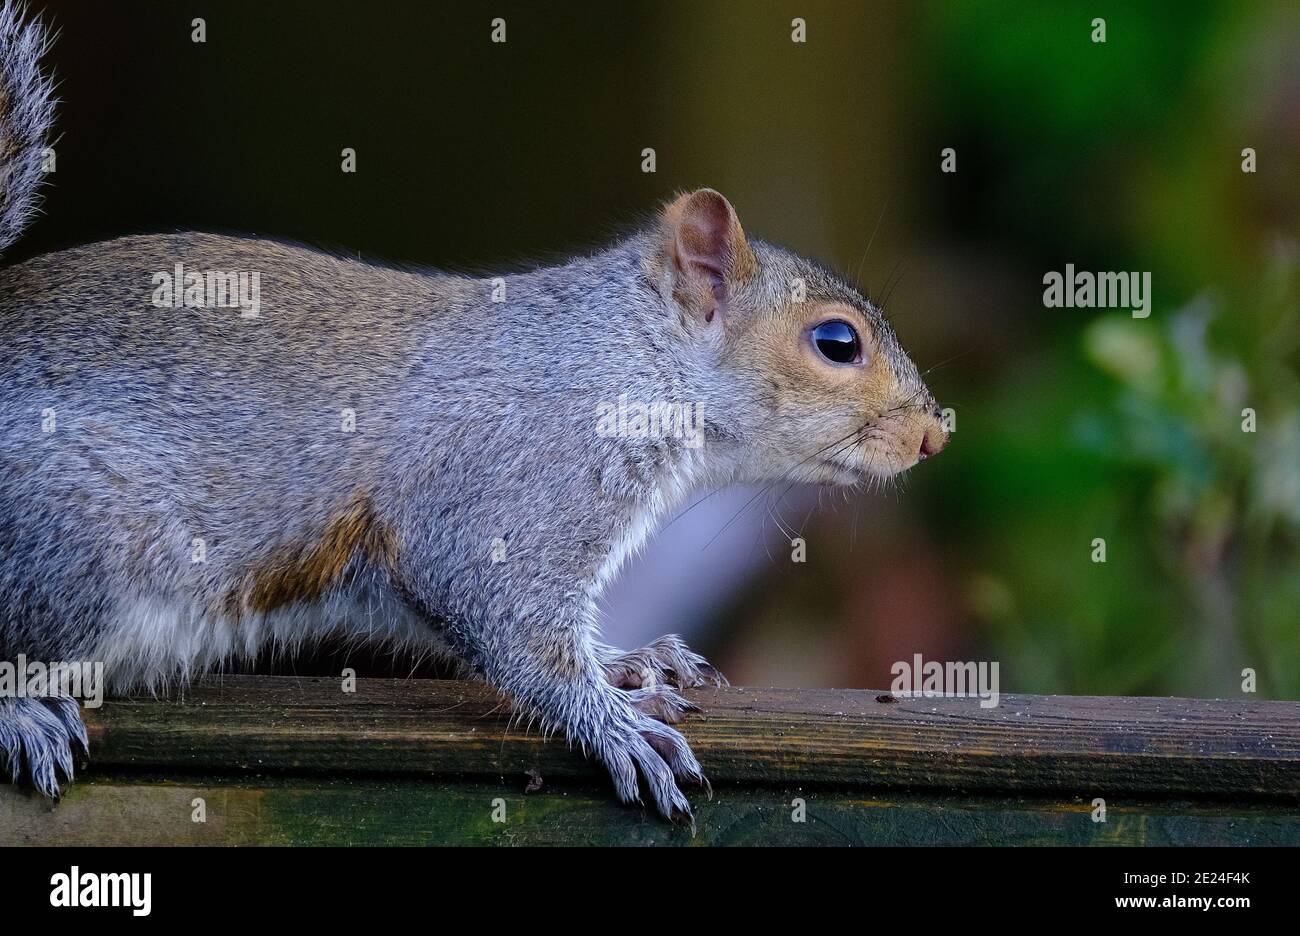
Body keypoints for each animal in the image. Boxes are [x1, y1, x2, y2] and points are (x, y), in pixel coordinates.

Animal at [2, 1, 946, 821]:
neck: (628, 359)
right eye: (836, 342)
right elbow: (507, 619)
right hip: (71, 538)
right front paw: (614, 725)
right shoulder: (507, 484)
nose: (936, 433)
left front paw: (632, 662)